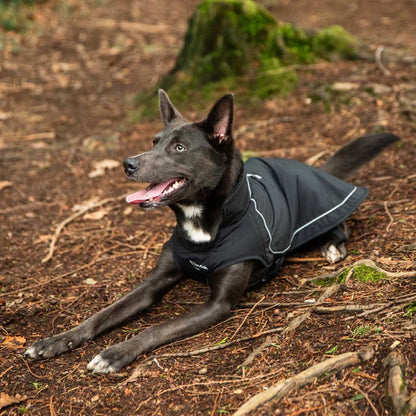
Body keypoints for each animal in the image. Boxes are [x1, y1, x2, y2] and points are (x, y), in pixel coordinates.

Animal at [25, 90, 396, 374]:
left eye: (178, 148)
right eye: (154, 142)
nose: (127, 164)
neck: (203, 222)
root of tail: (314, 168)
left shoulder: (218, 304)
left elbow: (156, 328)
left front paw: (115, 353)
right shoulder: (153, 284)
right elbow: (102, 315)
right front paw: (54, 341)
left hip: (319, 204)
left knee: (339, 223)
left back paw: (333, 246)